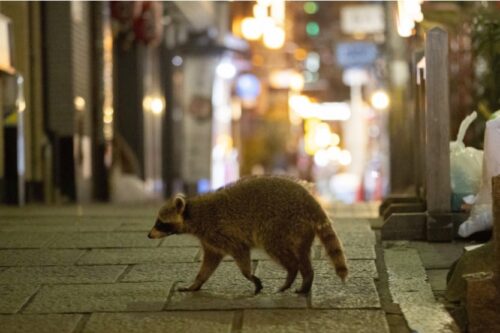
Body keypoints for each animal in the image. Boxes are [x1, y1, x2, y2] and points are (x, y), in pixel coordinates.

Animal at [148, 175, 348, 292]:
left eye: (160, 223)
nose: (149, 235)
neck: (193, 212)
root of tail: (310, 200)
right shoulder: (210, 241)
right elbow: (209, 263)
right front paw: (196, 282)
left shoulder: (221, 233)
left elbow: (241, 253)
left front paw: (250, 276)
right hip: (302, 230)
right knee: (303, 254)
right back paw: (306, 278)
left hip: (281, 224)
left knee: (281, 251)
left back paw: (292, 273)